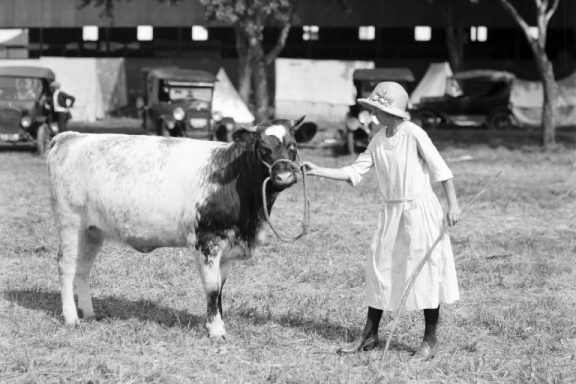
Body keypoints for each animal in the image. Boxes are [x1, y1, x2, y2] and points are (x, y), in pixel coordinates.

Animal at [47, 118, 316, 340]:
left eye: (292, 146)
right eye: (263, 148)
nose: (283, 176)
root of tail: (71, 136)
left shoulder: (227, 248)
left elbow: (220, 289)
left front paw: (217, 322)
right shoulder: (208, 241)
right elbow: (212, 288)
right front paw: (216, 331)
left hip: (92, 231)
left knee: (83, 269)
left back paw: (89, 312)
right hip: (70, 223)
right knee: (66, 266)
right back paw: (71, 318)